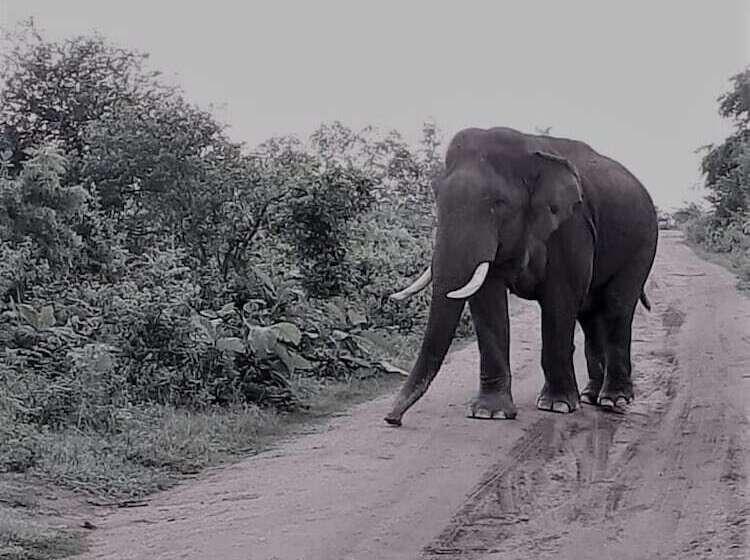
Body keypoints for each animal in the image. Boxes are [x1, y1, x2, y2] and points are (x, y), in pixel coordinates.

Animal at [385, 126, 658, 427]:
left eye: (499, 203)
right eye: (438, 200)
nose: (392, 419)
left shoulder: (570, 227)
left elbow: (560, 301)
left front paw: (557, 406)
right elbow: (486, 300)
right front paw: (489, 413)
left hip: (643, 243)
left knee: (617, 307)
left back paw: (613, 400)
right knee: (590, 314)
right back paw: (590, 396)